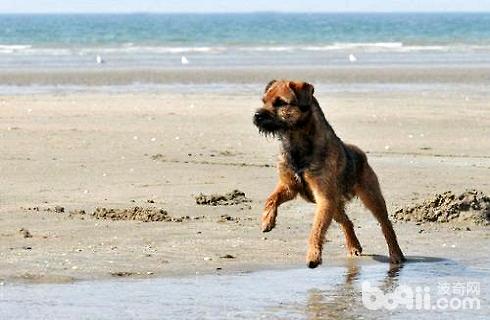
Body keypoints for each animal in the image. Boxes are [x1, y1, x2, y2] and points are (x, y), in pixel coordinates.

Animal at [253, 79, 406, 268]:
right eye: (264, 101)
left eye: (280, 102)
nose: (257, 115)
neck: (297, 142)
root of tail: (360, 153)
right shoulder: (290, 187)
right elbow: (271, 198)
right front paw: (267, 220)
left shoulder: (324, 198)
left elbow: (316, 229)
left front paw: (313, 255)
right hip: (335, 205)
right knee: (347, 221)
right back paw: (354, 246)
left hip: (370, 197)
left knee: (385, 224)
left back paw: (396, 254)